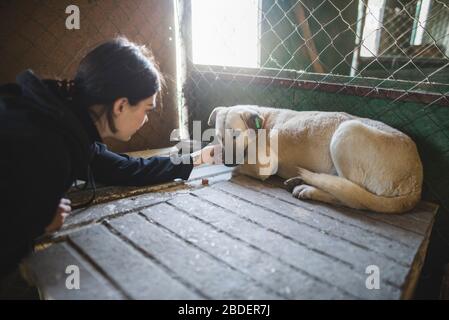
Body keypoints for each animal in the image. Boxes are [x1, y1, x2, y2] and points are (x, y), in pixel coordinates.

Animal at [208, 106, 422, 214]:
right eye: (219, 136)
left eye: (235, 135)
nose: (226, 162)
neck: (262, 122)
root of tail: (417, 184)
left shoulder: (264, 166)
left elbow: (240, 167)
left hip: (346, 132)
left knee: (351, 198)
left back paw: (308, 189)